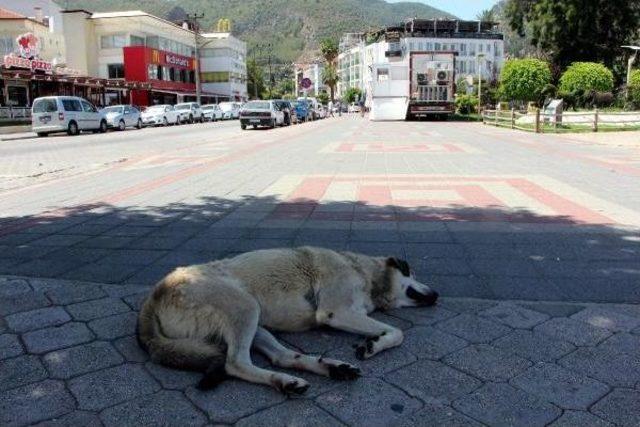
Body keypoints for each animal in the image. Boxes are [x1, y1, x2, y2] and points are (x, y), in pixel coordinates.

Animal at [138, 247, 438, 394]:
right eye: (413, 273)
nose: (436, 295)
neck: (364, 271)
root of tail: (152, 299)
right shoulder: (336, 311)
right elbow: (398, 331)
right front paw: (374, 344)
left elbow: (394, 331)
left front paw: (374, 342)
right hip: (245, 306)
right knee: (235, 363)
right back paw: (286, 381)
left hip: (256, 323)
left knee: (281, 356)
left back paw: (328, 369)